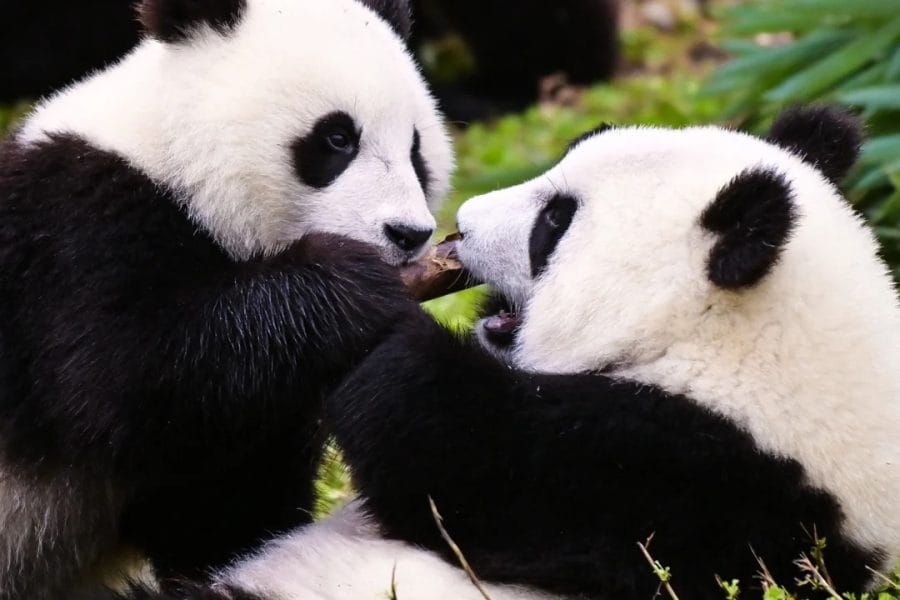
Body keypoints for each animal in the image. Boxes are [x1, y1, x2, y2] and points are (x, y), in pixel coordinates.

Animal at [0, 0, 452, 597]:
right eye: (337, 138)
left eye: (416, 149)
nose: (408, 234)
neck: (169, 160)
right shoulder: (70, 227)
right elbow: (123, 375)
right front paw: (350, 281)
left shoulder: (260, 412)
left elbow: (222, 498)